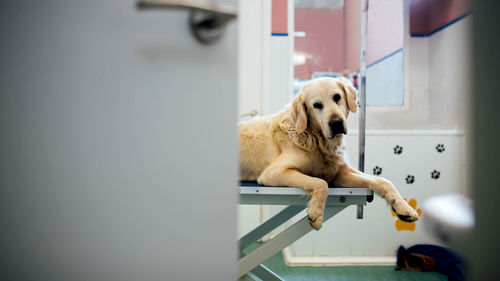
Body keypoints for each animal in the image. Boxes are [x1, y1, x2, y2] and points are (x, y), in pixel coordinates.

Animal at [238, 75, 418, 229]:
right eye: (317, 105)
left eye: (337, 97)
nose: (336, 122)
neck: (316, 139)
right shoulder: (273, 173)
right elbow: (320, 183)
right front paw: (317, 214)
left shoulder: (340, 173)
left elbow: (383, 181)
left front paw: (404, 208)